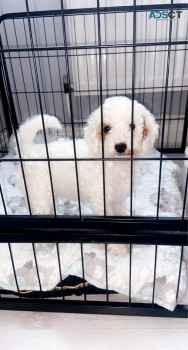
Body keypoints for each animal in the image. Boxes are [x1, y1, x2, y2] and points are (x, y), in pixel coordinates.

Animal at [15, 95, 159, 216]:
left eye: (132, 125)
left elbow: (120, 213)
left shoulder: (117, 199)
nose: (120, 146)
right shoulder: (100, 198)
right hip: (39, 192)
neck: (115, 162)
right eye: (106, 129)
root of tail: (29, 148)